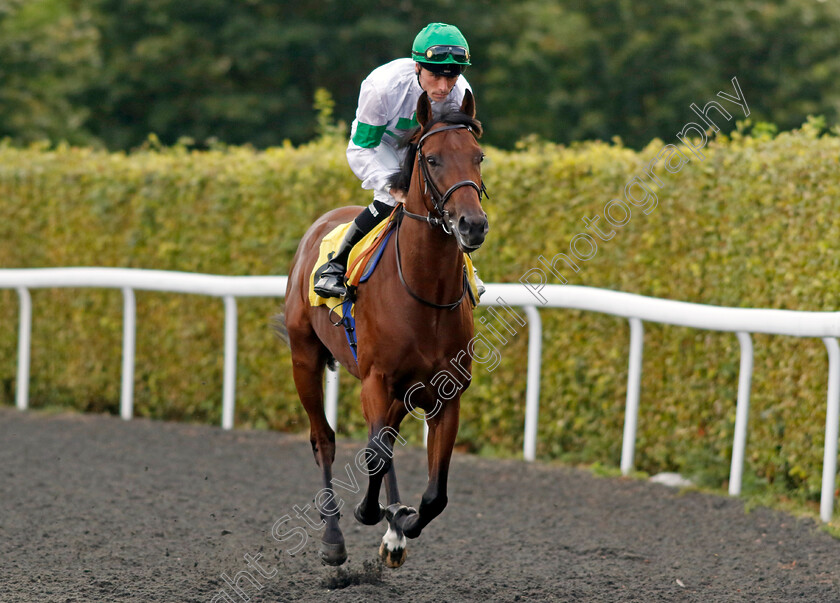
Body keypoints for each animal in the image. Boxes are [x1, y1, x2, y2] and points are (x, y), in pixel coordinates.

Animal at [278, 88, 486, 568]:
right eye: (432, 159)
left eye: (479, 156)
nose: (473, 225)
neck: (424, 293)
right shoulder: (375, 378)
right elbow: (373, 454)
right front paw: (369, 514)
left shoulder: (446, 394)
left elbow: (435, 494)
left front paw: (402, 524)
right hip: (304, 357)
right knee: (324, 438)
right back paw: (333, 540)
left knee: (386, 437)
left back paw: (393, 531)